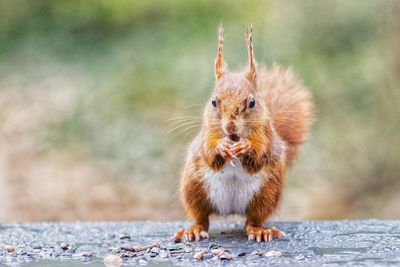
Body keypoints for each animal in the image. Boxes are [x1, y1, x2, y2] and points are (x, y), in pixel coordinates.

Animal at [180, 26, 314, 243]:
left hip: (266, 194)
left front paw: (246, 147)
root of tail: (231, 210)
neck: (235, 137)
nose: (230, 127)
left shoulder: (266, 136)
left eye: (251, 102)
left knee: (253, 219)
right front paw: (221, 146)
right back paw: (194, 230)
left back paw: (259, 230)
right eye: (214, 102)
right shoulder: (207, 134)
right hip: (194, 188)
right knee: (201, 216)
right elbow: (209, 153)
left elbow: (259, 155)